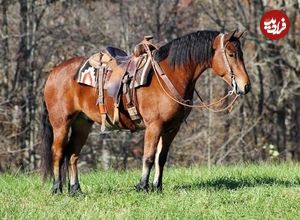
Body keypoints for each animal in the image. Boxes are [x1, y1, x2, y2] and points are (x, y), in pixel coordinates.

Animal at [39, 30, 251, 195]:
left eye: (241, 53)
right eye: (231, 54)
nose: (246, 86)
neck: (169, 74)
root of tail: (54, 72)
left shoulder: (171, 129)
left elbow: (161, 158)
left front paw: (157, 187)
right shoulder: (153, 126)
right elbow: (148, 156)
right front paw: (142, 186)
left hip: (82, 124)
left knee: (72, 155)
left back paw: (75, 190)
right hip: (61, 123)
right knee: (58, 153)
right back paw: (57, 189)